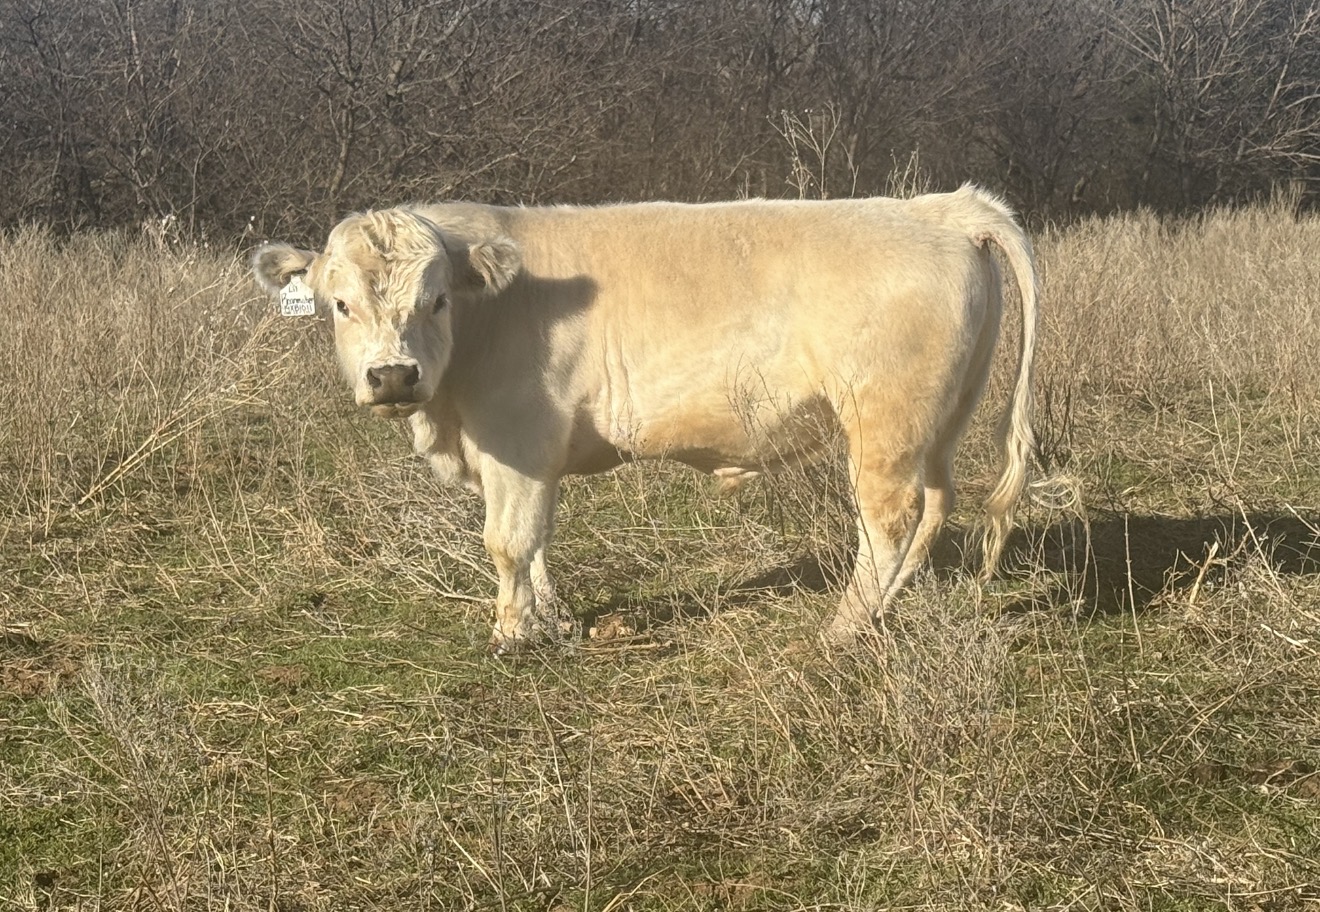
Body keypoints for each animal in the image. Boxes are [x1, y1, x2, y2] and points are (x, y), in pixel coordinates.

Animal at [252, 186, 1039, 653]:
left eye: (436, 300)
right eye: (340, 303)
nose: (393, 376)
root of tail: (936, 206)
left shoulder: (516, 440)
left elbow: (509, 542)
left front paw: (512, 633)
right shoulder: (527, 457)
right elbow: (538, 542)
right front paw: (553, 617)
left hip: (883, 424)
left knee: (888, 520)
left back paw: (843, 628)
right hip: (939, 421)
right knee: (935, 505)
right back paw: (882, 612)